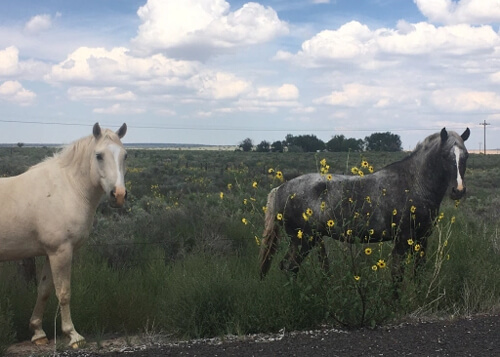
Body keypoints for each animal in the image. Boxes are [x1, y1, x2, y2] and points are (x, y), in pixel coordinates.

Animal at [0, 121, 127, 344]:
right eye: (99, 155)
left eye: (125, 155)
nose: (118, 195)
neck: (69, 188)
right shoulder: (61, 251)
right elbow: (64, 292)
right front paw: (73, 335)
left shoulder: (49, 253)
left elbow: (44, 290)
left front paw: (38, 332)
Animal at [260, 128, 470, 280]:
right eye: (445, 155)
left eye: (466, 155)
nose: (458, 190)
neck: (414, 183)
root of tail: (279, 189)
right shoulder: (403, 239)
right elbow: (397, 274)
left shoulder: (422, 239)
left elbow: (418, 272)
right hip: (302, 240)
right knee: (289, 267)